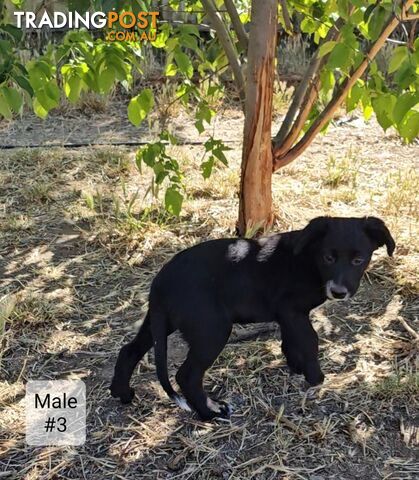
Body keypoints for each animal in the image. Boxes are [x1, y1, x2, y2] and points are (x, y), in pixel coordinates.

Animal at [110, 218, 396, 420]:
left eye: (359, 260)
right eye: (328, 258)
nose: (338, 291)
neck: (308, 259)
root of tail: (161, 280)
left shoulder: (288, 315)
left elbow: (290, 341)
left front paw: (296, 366)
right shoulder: (291, 310)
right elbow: (310, 340)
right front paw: (316, 378)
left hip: (160, 322)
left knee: (129, 350)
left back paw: (122, 393)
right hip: (212, 330)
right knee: (187, 375)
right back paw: (209, 413)